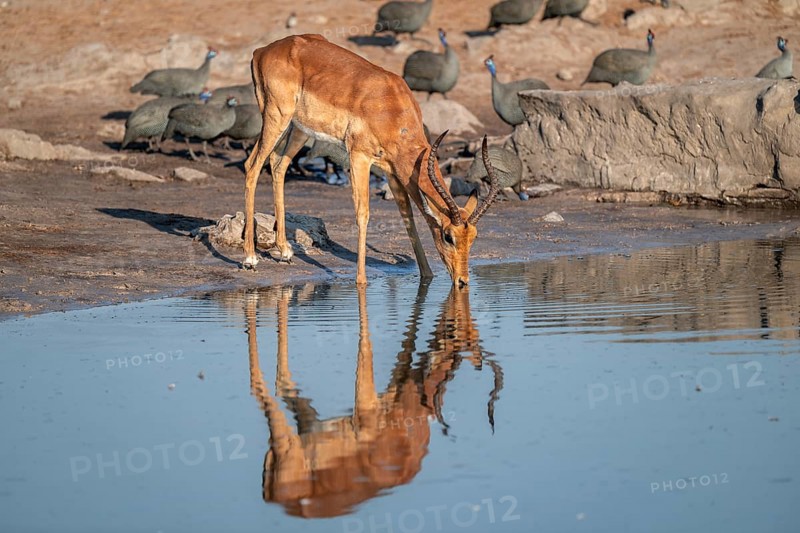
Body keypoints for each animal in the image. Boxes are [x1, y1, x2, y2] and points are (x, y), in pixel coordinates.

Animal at [243, 34, 501, 288]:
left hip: (298, 129)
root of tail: (262, 51)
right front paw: (361, 280)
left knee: (278, 165)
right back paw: (250, 258)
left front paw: (427, 275)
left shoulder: (393, 170)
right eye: (449, 236)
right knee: (252, 166)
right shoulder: (359, 157)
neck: (390, 108)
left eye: (473, 237)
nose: (462, 280)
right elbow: (363, 213)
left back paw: (284, 251)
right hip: (276, 117)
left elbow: (407, 216)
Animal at [246, 282, 503, 517]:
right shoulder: (365, 406)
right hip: (287, 441)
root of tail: (272, 497)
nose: (442, 331)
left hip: (305, 423)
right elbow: (366, 346)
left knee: (282, 383)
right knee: (262, 385)